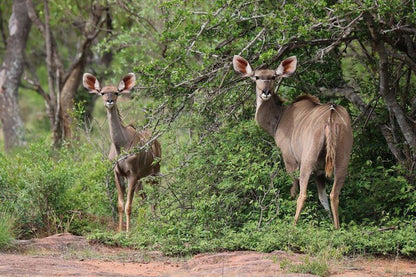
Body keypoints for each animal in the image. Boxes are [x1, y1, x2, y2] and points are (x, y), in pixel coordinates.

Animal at [82, 71, 161, 231]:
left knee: (155, 197)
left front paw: (127, 232)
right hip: (142, 180)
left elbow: (128, 206)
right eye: (102, 92)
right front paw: (119, 230)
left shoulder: (132, 174)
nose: (110, 101)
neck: (121, 145)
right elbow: (120, 204)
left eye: (116, 92)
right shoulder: (117, 173)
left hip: (155, 173)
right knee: (145, 198)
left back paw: (154, 221)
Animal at [232, 55, 352, 227]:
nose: (266, 92)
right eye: (257, 77)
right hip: (342, 160)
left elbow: (293, 190)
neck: (280, 117)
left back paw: (293, 226)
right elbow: (322, 198)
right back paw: (337, 228)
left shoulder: (289, 159)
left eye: (273, 77)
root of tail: (331, 114)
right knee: (334, 195)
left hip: (307, 161)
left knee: (303, 194)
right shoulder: (320, 172)